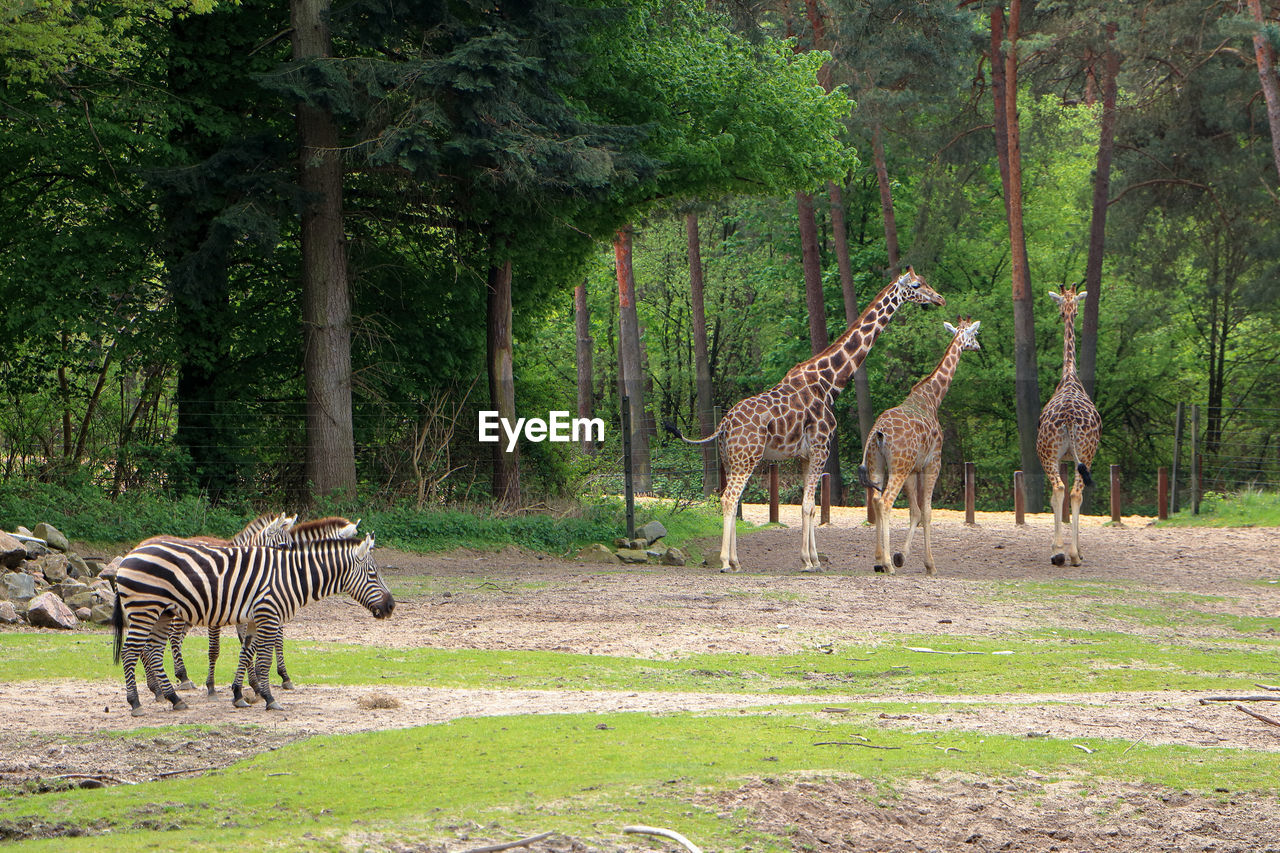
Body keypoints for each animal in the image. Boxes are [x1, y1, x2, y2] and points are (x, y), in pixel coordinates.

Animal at [112, 532, 391, 712]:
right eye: (373, 574)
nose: (391, 606)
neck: (291, 576)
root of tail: (129, 554)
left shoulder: (255, 619)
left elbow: (246, 654)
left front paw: (238, 694)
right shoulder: (269, 615)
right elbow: (264, 658)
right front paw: (269, 697)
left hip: (163, 613)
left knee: (154, 652)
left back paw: (173, 698)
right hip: (145, 609)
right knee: (130, 652)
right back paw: (135, 702)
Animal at [686, 268, 947, 568]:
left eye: (926, 283)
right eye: (916, 285)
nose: (939, 298)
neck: (829, 383)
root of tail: (723, 424)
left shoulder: (804, 454)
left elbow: (808, 506)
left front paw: (812, 559)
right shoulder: (822, 446)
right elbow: (809, 505)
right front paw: (809, 561)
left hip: (730, 460)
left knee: (730, 498)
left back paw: (736, 560)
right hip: (746, 458)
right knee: (730, 498)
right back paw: (727, 562)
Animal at [860, 315, 977, 573]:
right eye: (975, 334)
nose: (978, 346)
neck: (932, 398)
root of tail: (878, 433)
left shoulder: (913, 469)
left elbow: (915, 512)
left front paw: (900, 556)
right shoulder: (933, 463)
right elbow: (927, 511)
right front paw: (930, 564)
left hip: (878, 465)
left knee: (875, 500)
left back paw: (878, 560)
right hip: (898, 467)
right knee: (885, 502)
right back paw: (887, 565)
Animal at [1034, 284, 1105, 563]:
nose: (1067, 312)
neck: (1069, 376)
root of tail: (1069, 420)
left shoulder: (1062, 458)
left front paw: (1061, 547)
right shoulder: (1070, 458)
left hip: (1051, 454)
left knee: (1062, 490)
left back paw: (1063, 553)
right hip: (1081, 454)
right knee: (1072, 492)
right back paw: (1072, 553)